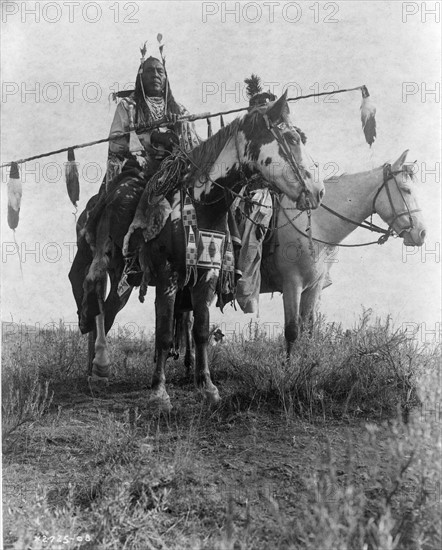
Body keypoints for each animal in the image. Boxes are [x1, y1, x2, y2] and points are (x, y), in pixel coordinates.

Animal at [70, 91, 324, 410]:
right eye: (291, 138)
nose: (317, 192)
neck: (202, 204)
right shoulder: (168, 275)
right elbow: (165, 334)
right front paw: (159, 392)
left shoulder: (207, 275)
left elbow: (201, 330)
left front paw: (207, 387)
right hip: (105, 258)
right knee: (94, 297)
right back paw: (100, 363)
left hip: (124, 278)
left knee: (106, 308)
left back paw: (94, 367)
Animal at [260, 151, 426, 356]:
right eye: (406, 189)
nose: (422, 233)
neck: (314, 225)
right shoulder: (292, 282)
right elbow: (291, 333)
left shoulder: (313, 286)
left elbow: (308, 331)